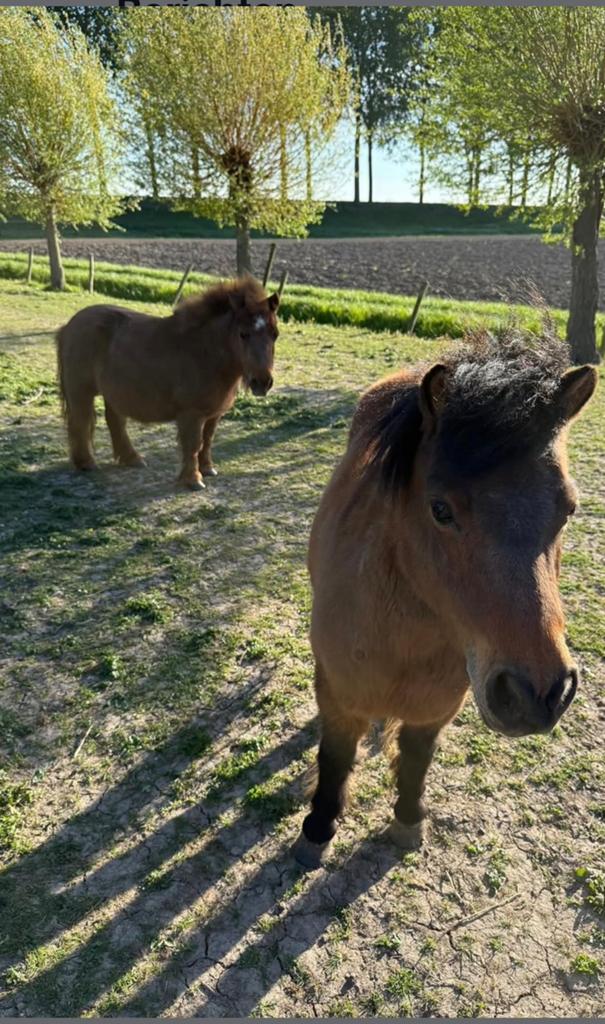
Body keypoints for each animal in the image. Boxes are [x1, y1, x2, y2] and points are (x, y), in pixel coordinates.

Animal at [56, 277, 279, 490]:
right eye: (243, 334)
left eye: (274, 334)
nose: (262, 382)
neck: (204, 351)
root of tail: (69, 325)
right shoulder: (191, 414)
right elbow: (193, 444)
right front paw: (193, 480)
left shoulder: (213, 414)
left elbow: (207, 441)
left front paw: (207, 469)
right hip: (80, 392)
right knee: (80, 422)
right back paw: (86, 463)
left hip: (114, 392)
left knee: (115, 421)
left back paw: (132, 458)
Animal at [294, 328, 597, 870]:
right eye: (440, 510)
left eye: (569, 508)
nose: (537, 694)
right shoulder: (339, 698)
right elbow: (335, 757)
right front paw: (318, 827)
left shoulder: (436, 708)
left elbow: (416, 761)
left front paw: (408, 820)